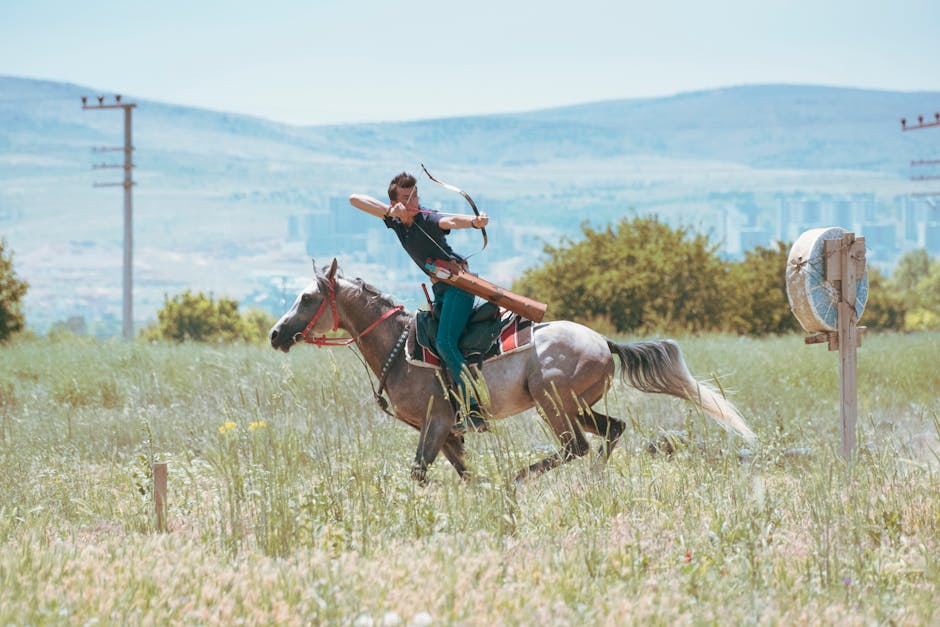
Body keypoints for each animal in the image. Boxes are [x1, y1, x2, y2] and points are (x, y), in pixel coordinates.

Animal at [270, 260, 756, 486]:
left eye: (307, 297)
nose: (276, 334)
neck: (399, 348)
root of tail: (603, 341)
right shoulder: (447, 432)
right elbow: (462, 472)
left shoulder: (437, 422)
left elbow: (419, 471)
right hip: (577, 406)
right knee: (611, 430)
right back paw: (593, 479)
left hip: (552, 402)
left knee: (574, 447)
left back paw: (520, 477)